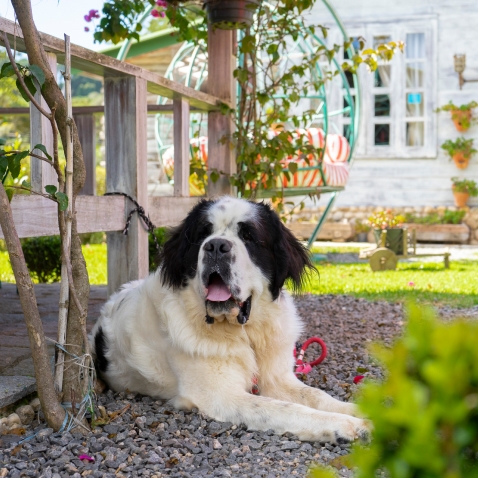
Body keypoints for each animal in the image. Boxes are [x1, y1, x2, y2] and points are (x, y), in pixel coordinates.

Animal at [93, 196, 370, 442]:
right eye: (202, 235)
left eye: (248, 236)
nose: (216, 246)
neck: (245, 333)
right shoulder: (222, 395)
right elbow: (283, 408)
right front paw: (344, 425)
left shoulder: (278, 378)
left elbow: (316, 396)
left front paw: (363, 414)